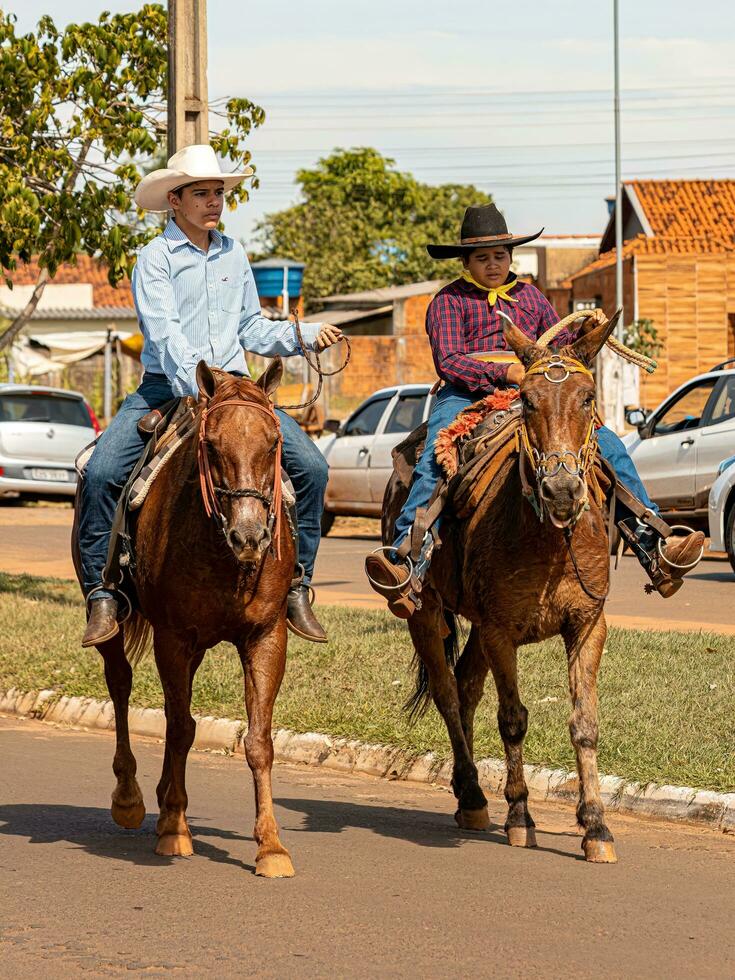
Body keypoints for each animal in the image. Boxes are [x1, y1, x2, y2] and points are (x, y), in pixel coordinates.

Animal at [72, 362, 296, 880]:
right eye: (211, 446)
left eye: (274, 442)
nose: (250, 535)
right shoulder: (173, 638)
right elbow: (179, 728)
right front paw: (175, 827)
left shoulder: (266, 636)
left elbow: (258, 741)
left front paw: (271, 846)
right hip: (117, 620)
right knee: (120, 684)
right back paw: (131, 799)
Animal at [386, 316, 620, 864]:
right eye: (529, 400)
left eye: (588, 398)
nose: (562, 490)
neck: (550, 538)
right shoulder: (499, 631)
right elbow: (513, 718)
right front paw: (520, 816)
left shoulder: (587, 626)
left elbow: (584, 723)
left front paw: (595, 825)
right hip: (426, 613)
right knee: (449, 694)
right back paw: (473, 794)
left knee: (467, 689)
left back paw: (464, 792)